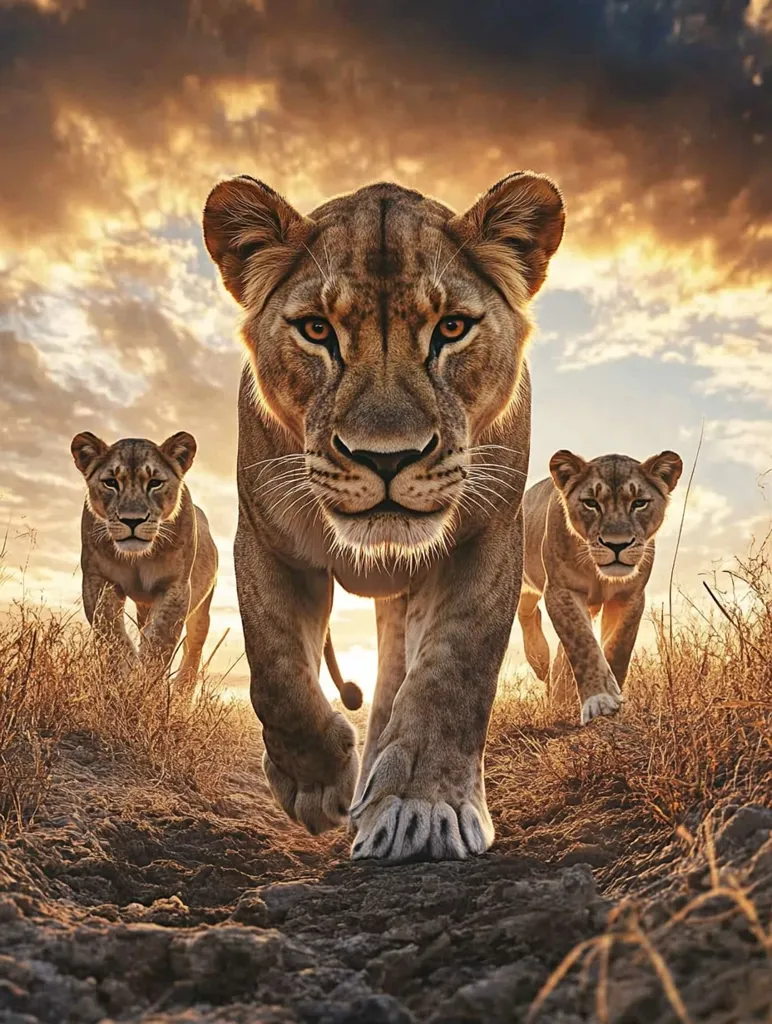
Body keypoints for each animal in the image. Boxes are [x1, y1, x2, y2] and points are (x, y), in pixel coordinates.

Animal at [71, 431, 218, 697]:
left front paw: (145, 687)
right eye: (111, 482)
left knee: (193, 646)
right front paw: (126, 682)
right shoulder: (98, 581)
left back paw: (181, 695)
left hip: (202, 608)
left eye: (155, 483)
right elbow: (112, 637)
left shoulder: (175, 586)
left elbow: (160, 643)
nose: (132, 521)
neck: (138, 558)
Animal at [202, 170, 565, 861]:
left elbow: (453, 670)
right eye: (317, 330)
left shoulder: (485, 535)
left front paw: (421, 807)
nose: (387, 457)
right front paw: (317, 785)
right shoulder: (267, 539)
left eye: (452, 327)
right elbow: (276, 672)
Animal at [518, 450, 683, 724]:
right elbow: (581, 642)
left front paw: (612, 694)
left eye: (639, 502)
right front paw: (599, 700)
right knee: (526, 610)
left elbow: (617, 646)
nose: (617, 545)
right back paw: (538, 657)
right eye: (591, 503)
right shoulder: (560, 590)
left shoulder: (630, 595)